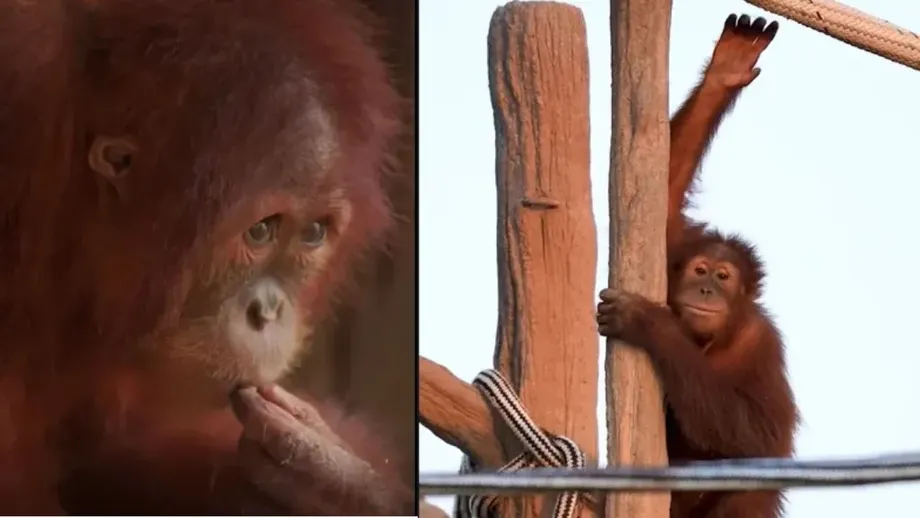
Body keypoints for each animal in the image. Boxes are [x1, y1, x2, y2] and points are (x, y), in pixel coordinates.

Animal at [596, 14, 799, 518]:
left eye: (724, 278)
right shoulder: (673, 249)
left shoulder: (762, 343)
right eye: (699, 271)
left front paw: (648, 323)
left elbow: (761, 436)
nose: (706, 291)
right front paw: (724, 72)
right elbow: (663, 190)